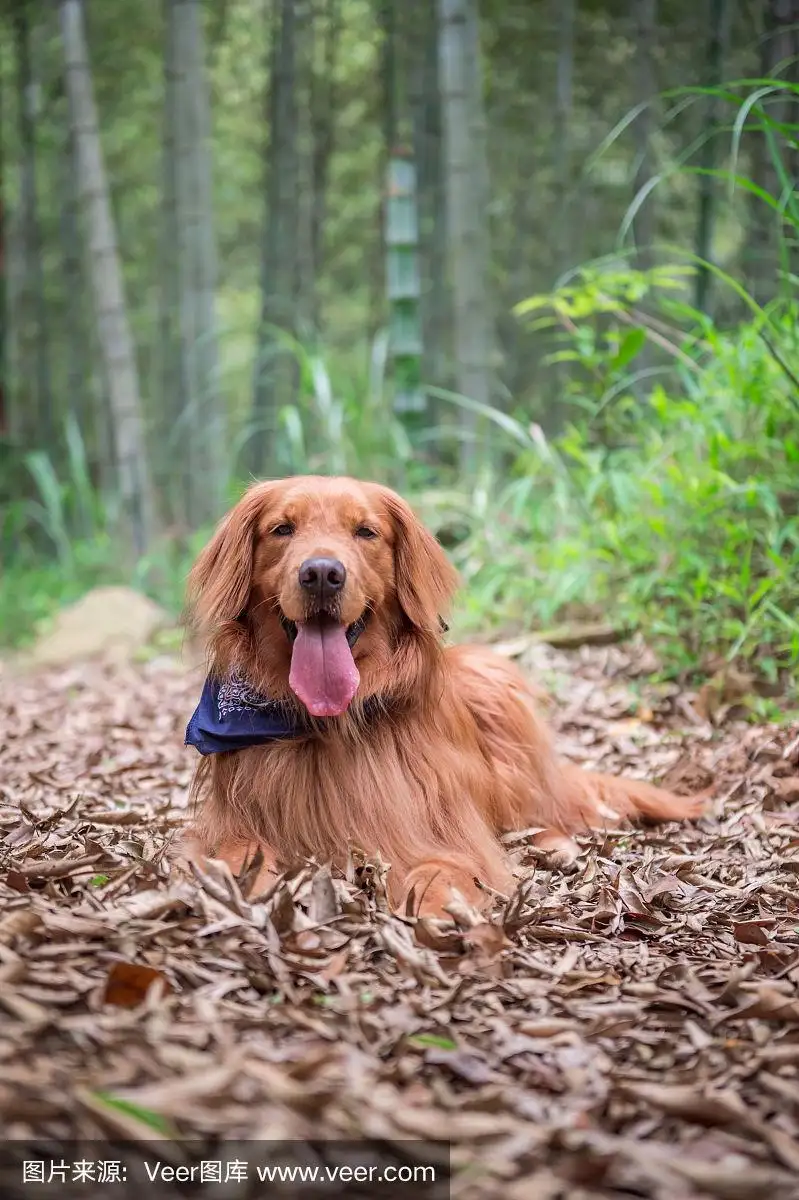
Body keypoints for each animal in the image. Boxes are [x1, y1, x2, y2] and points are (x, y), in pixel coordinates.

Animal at [179, 472, 695, 912]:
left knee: (543, 806)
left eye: (365, 532)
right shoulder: (234, 823)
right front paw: (245, 884)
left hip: (494, 682)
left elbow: (440, 869)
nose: (322, 573)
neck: (329, 721)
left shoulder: (438, 831)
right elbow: (236, 851)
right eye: (282, 529)